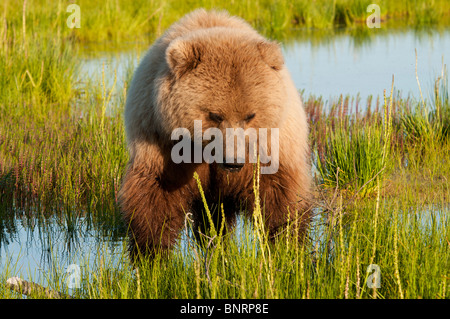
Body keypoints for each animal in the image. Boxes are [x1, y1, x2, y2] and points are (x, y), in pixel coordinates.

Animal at [118, 8, 312, 262]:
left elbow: (279, 194)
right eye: (215, 115)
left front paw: (286, 244)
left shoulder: (272, 145)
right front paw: (151, 253)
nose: (233, 162)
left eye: (250, 115)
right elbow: (156, 194)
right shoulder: (159, 138)